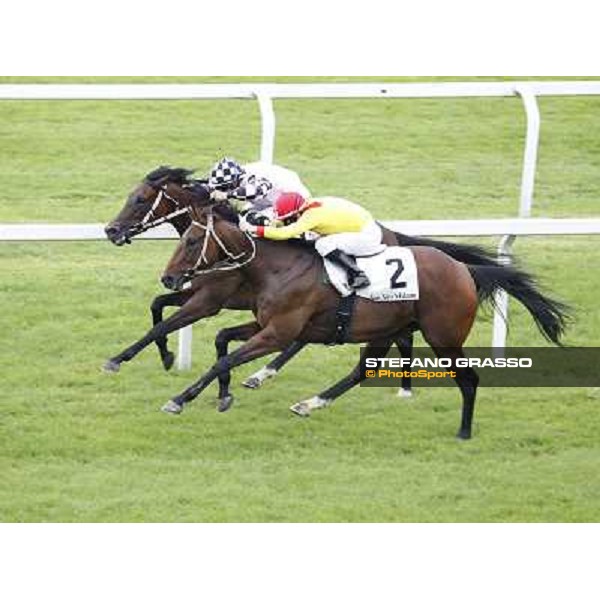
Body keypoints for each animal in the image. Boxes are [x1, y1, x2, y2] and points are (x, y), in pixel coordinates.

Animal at [158, 204, 568, 438]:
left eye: (192, 242)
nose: (169, 278)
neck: (279, 268)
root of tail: (464, 270)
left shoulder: (278, 333)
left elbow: (225, 356)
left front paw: (180, 400)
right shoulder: (267, 327)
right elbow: (222, 339)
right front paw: (224, 395)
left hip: (444, 336)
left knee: (468, 380)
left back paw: (464, 432)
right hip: (387, 329)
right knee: (362, 372)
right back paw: (310, 403)